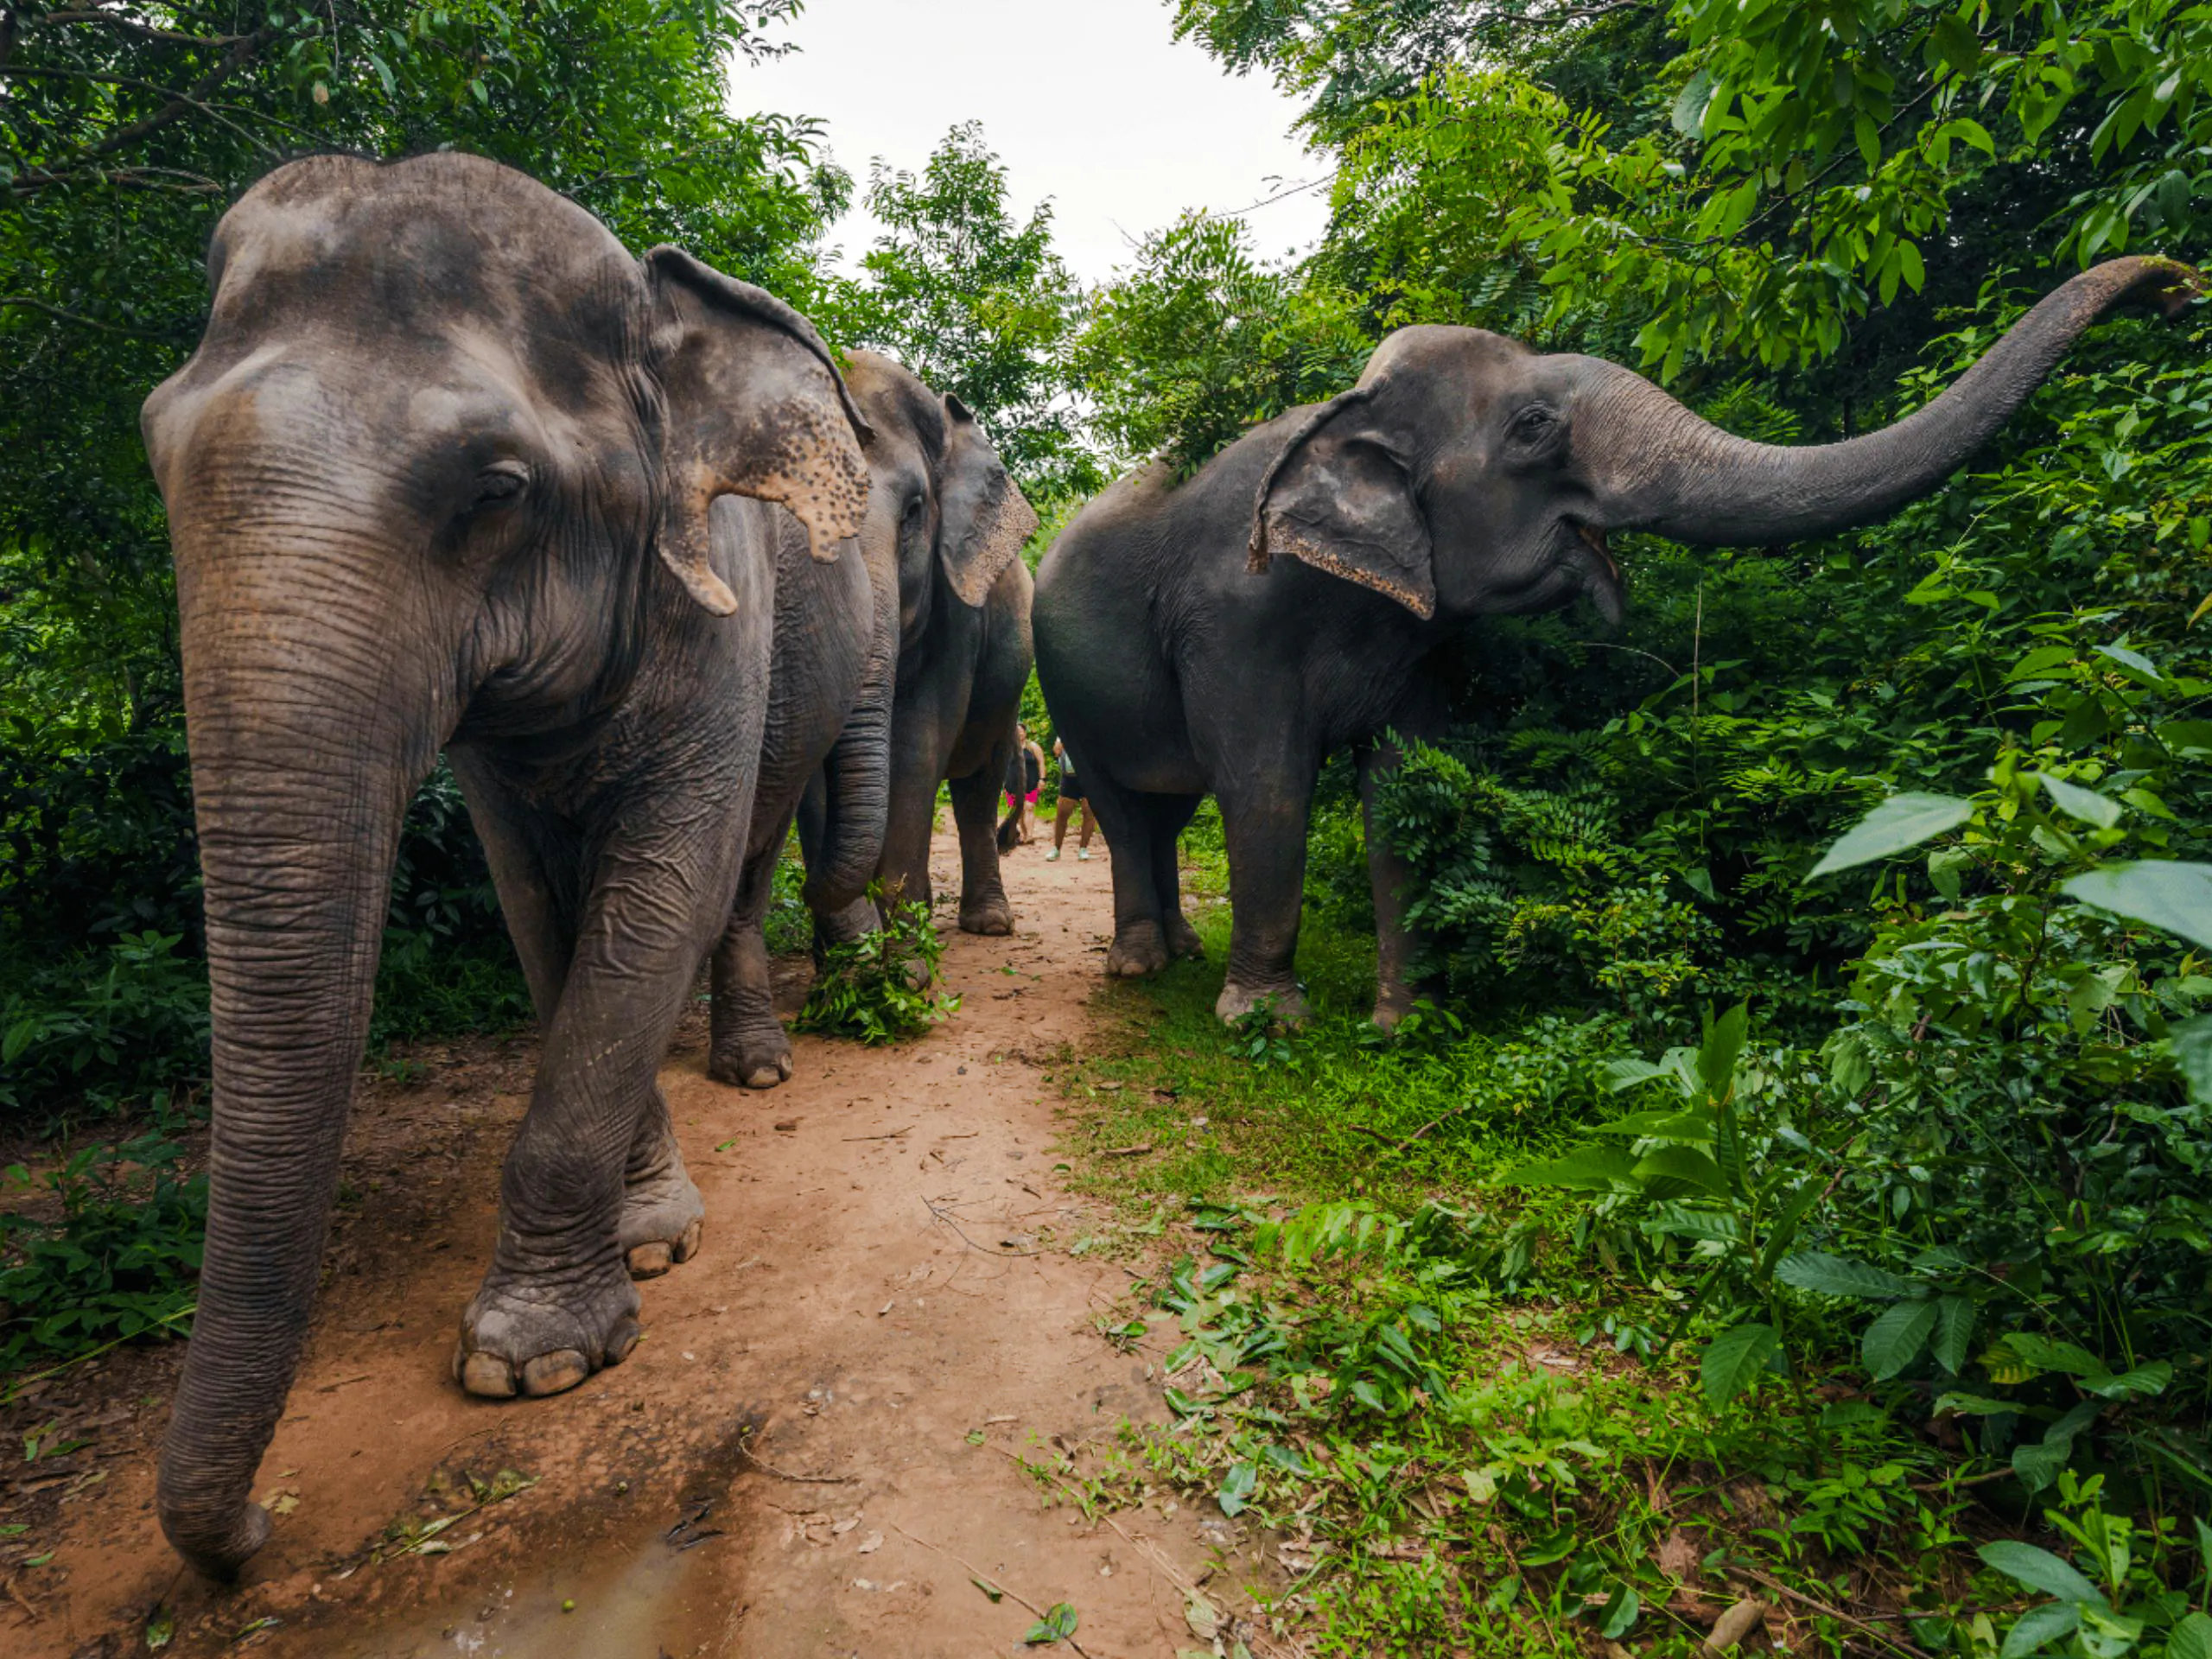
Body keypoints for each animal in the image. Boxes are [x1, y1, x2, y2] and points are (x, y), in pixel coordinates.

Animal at [137, 151, 874, 1578]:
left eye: (496, 489)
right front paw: (647, 1244)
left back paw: (759, 1069)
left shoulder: (719, 606)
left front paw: (532, 1365)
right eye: (154, 455)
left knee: (744, 866)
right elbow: (539, 910)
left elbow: (661, 892)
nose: (259, 1530)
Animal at [706, 351, 1036, 1089]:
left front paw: (905, 972)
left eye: (913, 510)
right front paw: (845, 970)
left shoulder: (957, 608)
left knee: (976, 785)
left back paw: (985, 924)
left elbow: (916, 747)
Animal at [1033, 256, 2200, 1029]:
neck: (1341, 411)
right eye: (1532, 430)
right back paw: (1143, 969)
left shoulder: (1419, 643)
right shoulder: (1235, 617)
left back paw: (1181, 953)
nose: (2179, 289)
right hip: (1065, 685)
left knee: (1165, 808)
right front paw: (1266, 1027)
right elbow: (1269, 788)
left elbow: (1405, 785)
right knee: (1127, 806)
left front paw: (1407, 1026)